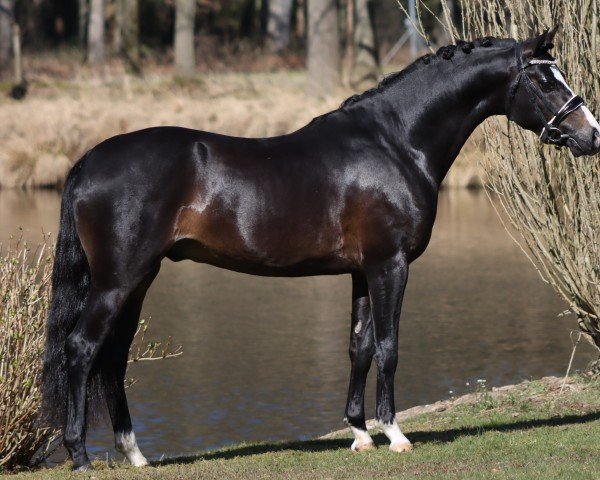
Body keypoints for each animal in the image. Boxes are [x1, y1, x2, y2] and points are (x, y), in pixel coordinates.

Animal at [41, 28, 600, 470]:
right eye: (545, 80)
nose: (591, 135)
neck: (395, 142)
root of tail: (89, 159)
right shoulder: (390, 265)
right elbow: (389, 347)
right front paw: (395, 434)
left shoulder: (361, 271)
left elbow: (359, 347)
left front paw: (359, 434)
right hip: (118, 281)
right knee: (82, 349)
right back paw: (80, 456)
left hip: (138, 280)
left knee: (114, 357)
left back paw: (135, 454)